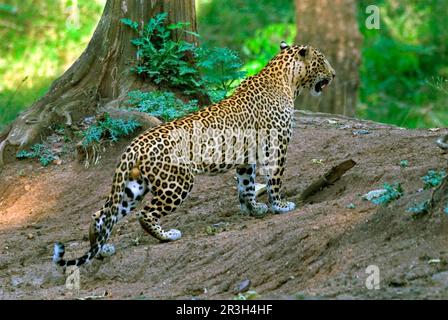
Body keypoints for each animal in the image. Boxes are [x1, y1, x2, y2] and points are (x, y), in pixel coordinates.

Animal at [52, 41, 334, 268]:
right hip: (177, 182)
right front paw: (280, 206)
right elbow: (274, 180)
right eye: (322, 60)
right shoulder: (276, 146)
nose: (333, 74)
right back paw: (167, 236)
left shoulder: (245, 157)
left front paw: (254, 209)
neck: (287, 80)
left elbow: (247, 185)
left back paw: (102, 249)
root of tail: (134, 146)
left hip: (133, 186)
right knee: (145, 214)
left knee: (101, 214)